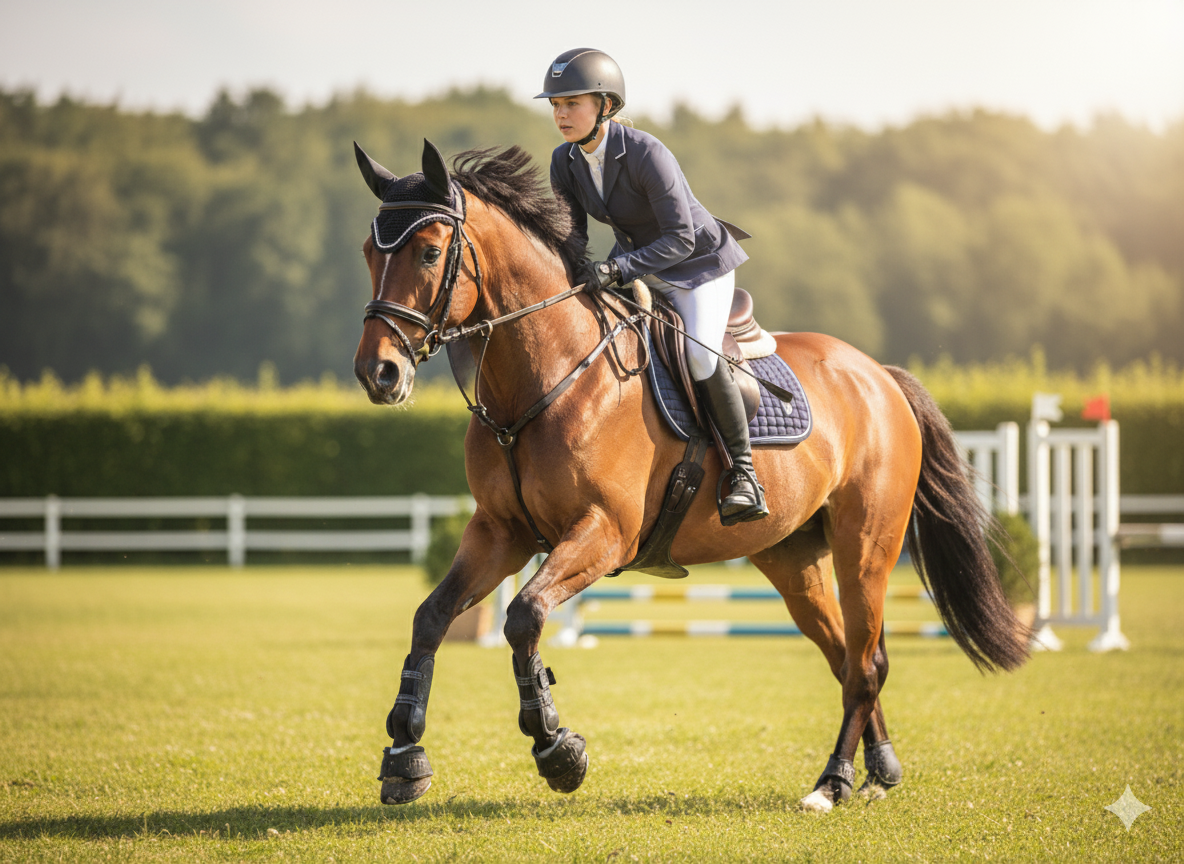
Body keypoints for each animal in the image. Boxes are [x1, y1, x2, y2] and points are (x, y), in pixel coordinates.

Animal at [352, 139, 1028, 812]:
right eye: (368, 252)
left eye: (430, 251)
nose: (378, 374)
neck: (545, 380)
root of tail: (879, 376)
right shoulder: (501, 533)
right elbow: (432, 616)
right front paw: (404, 752)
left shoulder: (604, 533)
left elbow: (524, 616)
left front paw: (558, 750)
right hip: (793, 557)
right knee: (847, 657)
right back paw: (879, 769)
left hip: (865, 547)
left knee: (865, 663)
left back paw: (831, 783)